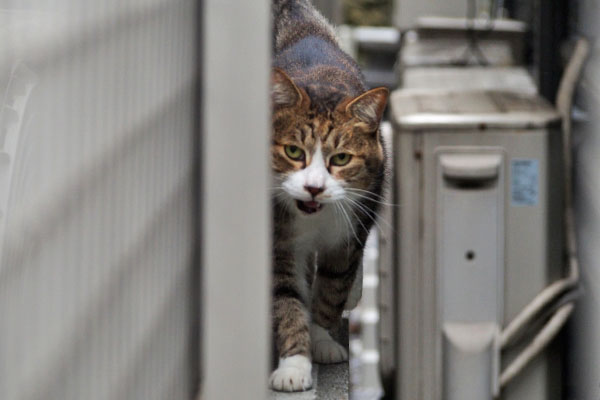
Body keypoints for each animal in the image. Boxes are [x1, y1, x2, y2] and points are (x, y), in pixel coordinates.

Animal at [270, 0, 386, 392]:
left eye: (341, 159)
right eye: (293, 152)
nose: (314, 187)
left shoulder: (348, 237)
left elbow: (331, 291)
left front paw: (321, 341)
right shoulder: (279, 243)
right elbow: (286, 299)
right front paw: (294, 365)